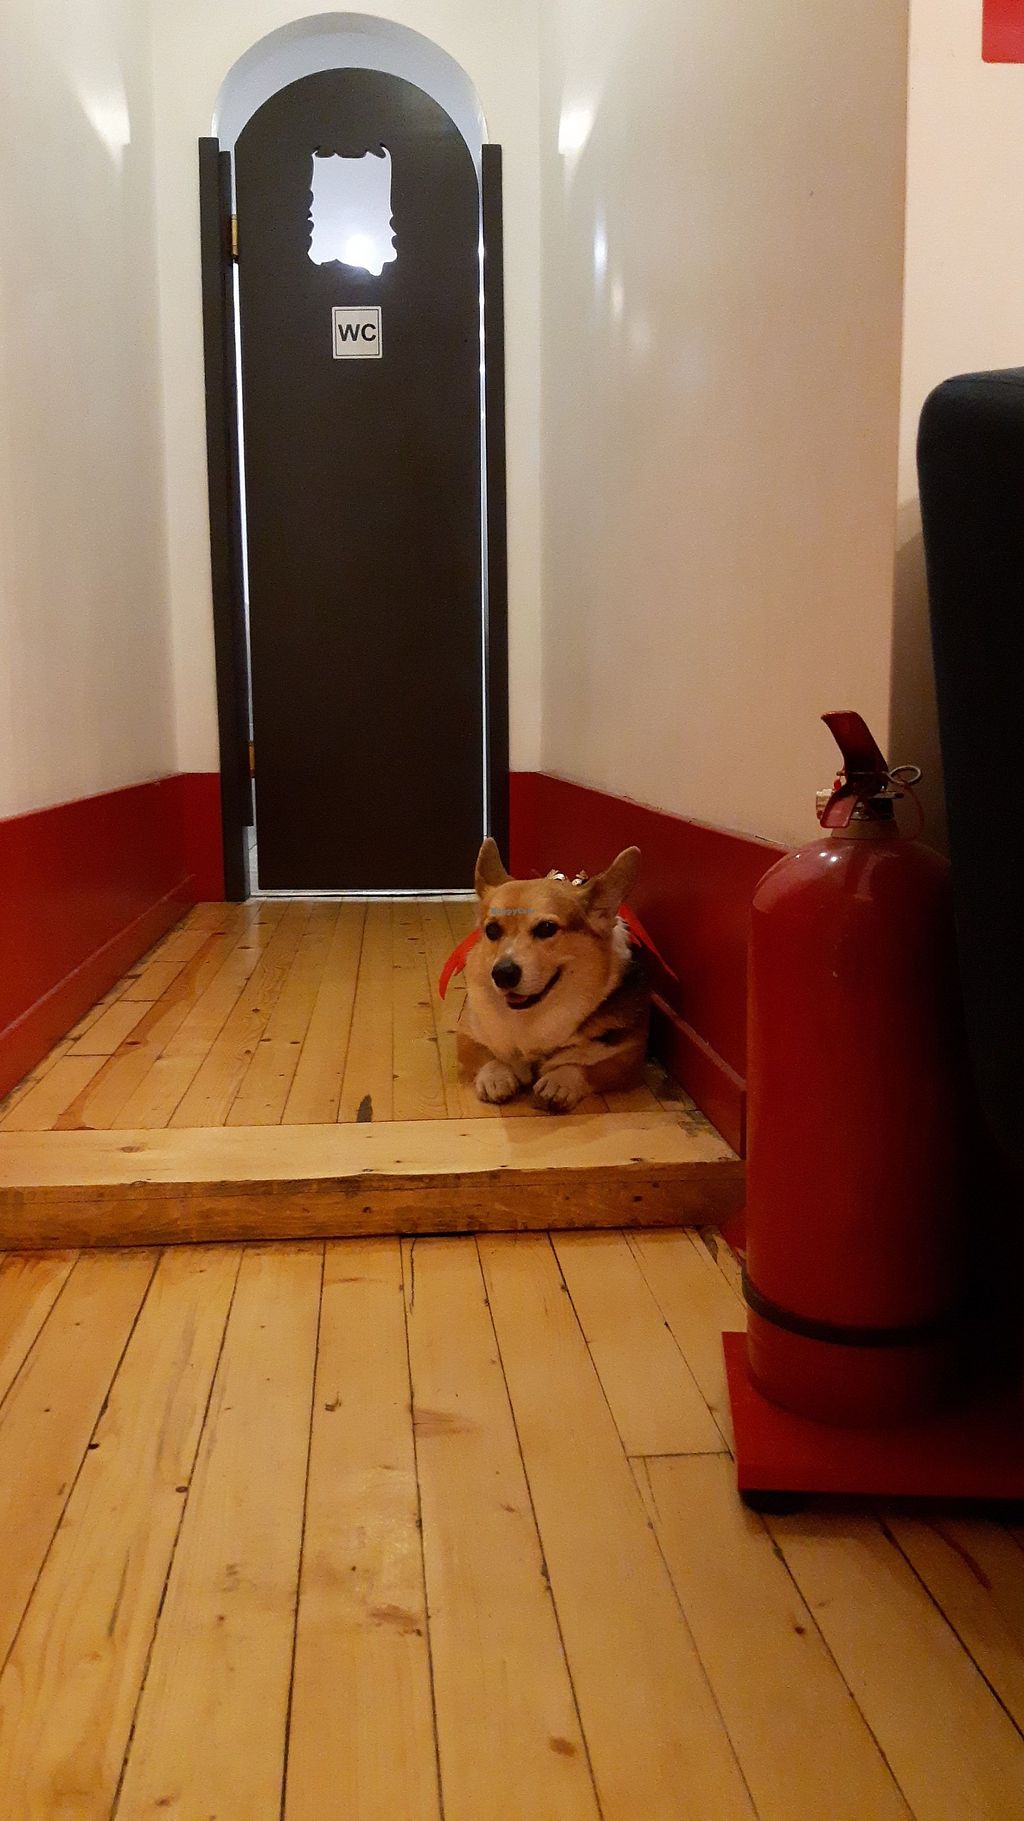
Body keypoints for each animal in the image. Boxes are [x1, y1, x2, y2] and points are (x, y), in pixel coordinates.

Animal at [456, 839, 650, 1112]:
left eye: (547, 928)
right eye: (492, 930)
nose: (502, 973)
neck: (531, 1017)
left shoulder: (629, 1056)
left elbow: (584, 1065)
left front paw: (561, 1081)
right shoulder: (467, 1032)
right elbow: (486, 1054)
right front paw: (496, 1075)